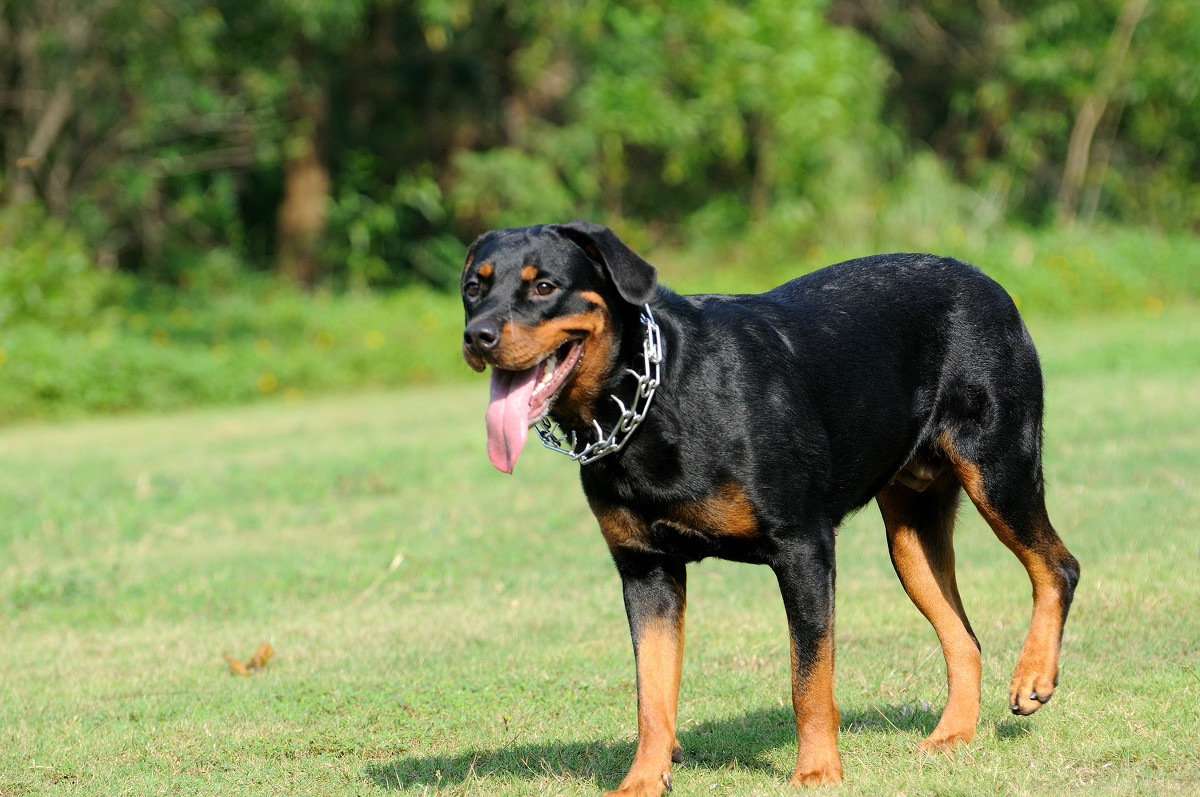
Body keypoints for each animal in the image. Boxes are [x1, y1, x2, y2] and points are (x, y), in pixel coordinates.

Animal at [456, 220, 1080, 792]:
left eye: (544, 286)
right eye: (472, 287)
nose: (476, 336)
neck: (654, 401)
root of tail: (987, 282)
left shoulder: (803, 547)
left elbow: (810, 676)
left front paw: (818, 772)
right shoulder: (646, 569)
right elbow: (651, 694)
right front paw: (642, 781)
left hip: (998, 468)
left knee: (1057, 565)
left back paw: (1032, 678)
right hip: (912, 537)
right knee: (964, 636)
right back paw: (953, 734)